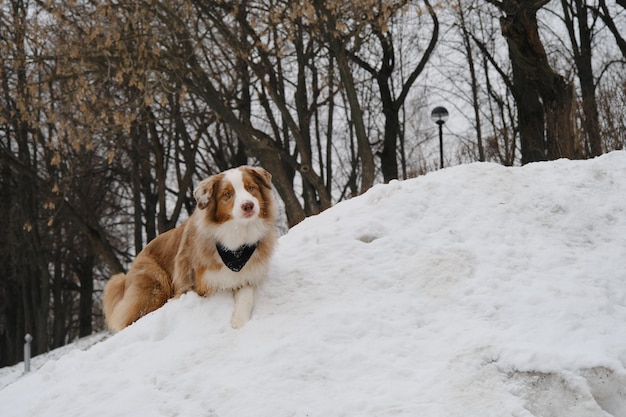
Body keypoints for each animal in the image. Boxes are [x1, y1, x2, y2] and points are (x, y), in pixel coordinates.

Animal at [102, 164, 276, 330]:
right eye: (227, 194)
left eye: (250, 187)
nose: (248, 205)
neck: (235, 240)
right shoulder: (192, 284)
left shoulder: (246, 275)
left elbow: (246, 297)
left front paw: (238, 323)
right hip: (155, 284)